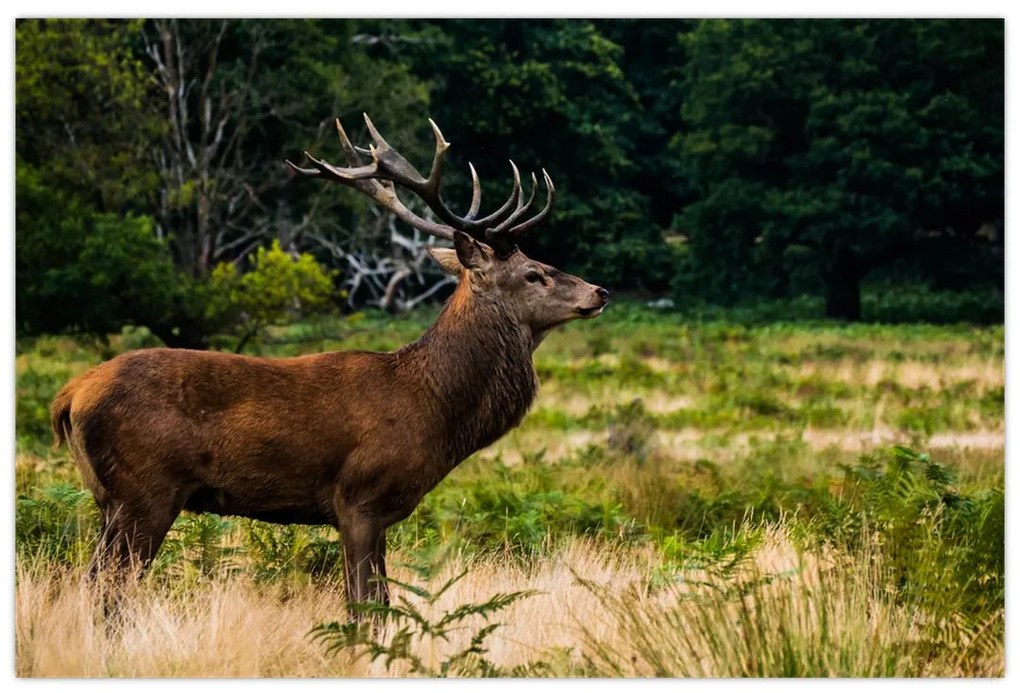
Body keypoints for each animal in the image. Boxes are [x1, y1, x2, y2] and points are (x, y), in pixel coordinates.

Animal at [47, 115, 607, 616]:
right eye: (534, 273)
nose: (599, 291)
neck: (433, 408)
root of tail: (70, 396)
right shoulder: (358, 497)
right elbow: (366, 606)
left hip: (109, 500)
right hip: (145, 490)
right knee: (109, 591)